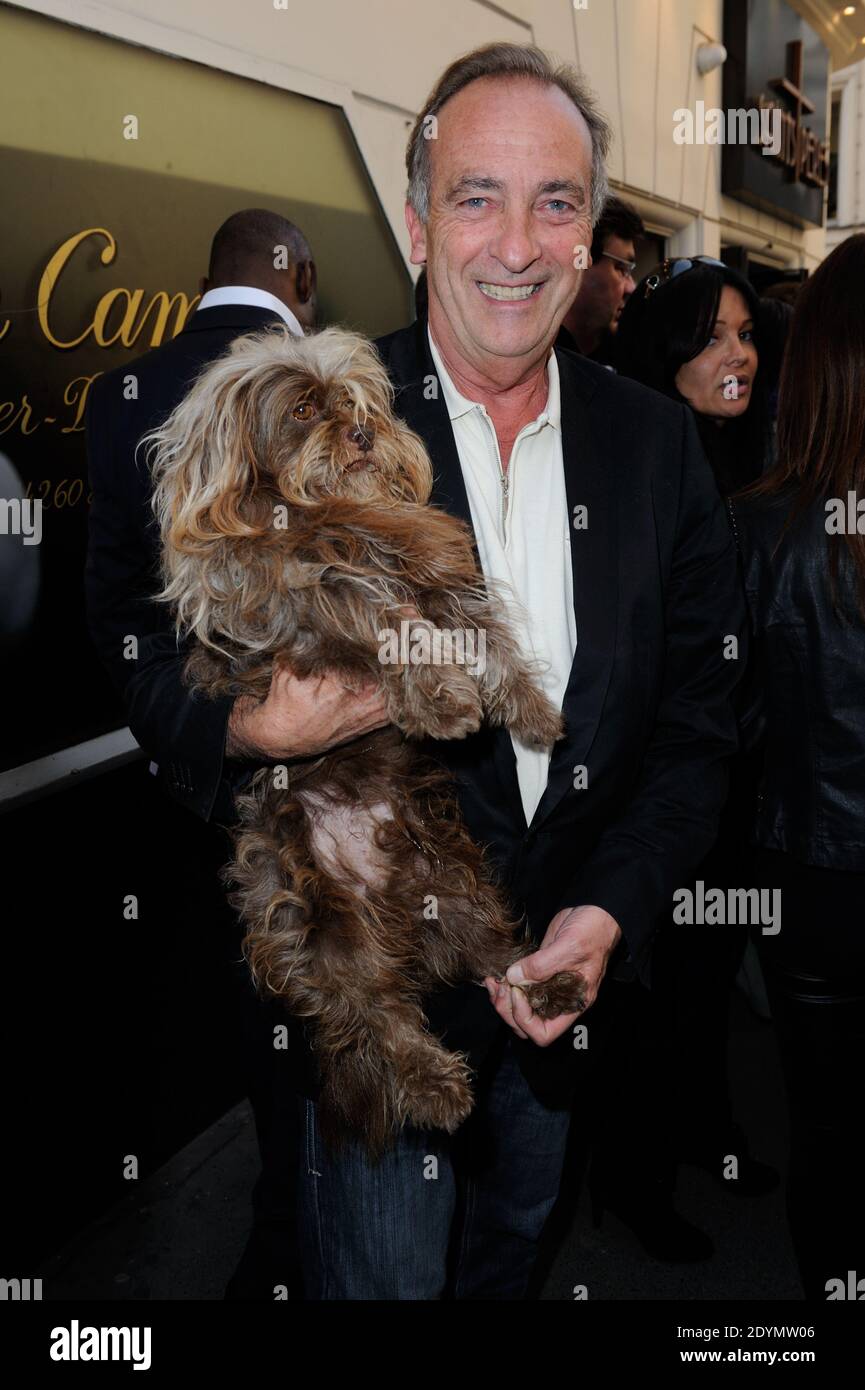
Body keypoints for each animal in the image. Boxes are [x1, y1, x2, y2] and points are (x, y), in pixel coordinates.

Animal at [148, 325, 589, 1150]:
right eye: (301, 408)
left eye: (356, 404)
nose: (359, 433)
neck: (331, 513)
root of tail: (385, 904)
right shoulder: (301, 598)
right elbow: (380, 614)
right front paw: (441, 700)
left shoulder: (435, 576)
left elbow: (481, 631)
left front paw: (529, 711)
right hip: (311, 920)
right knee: (371, 1018)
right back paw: (434, 1086)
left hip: (456, 887)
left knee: (497, 955)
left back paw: (548, 985)